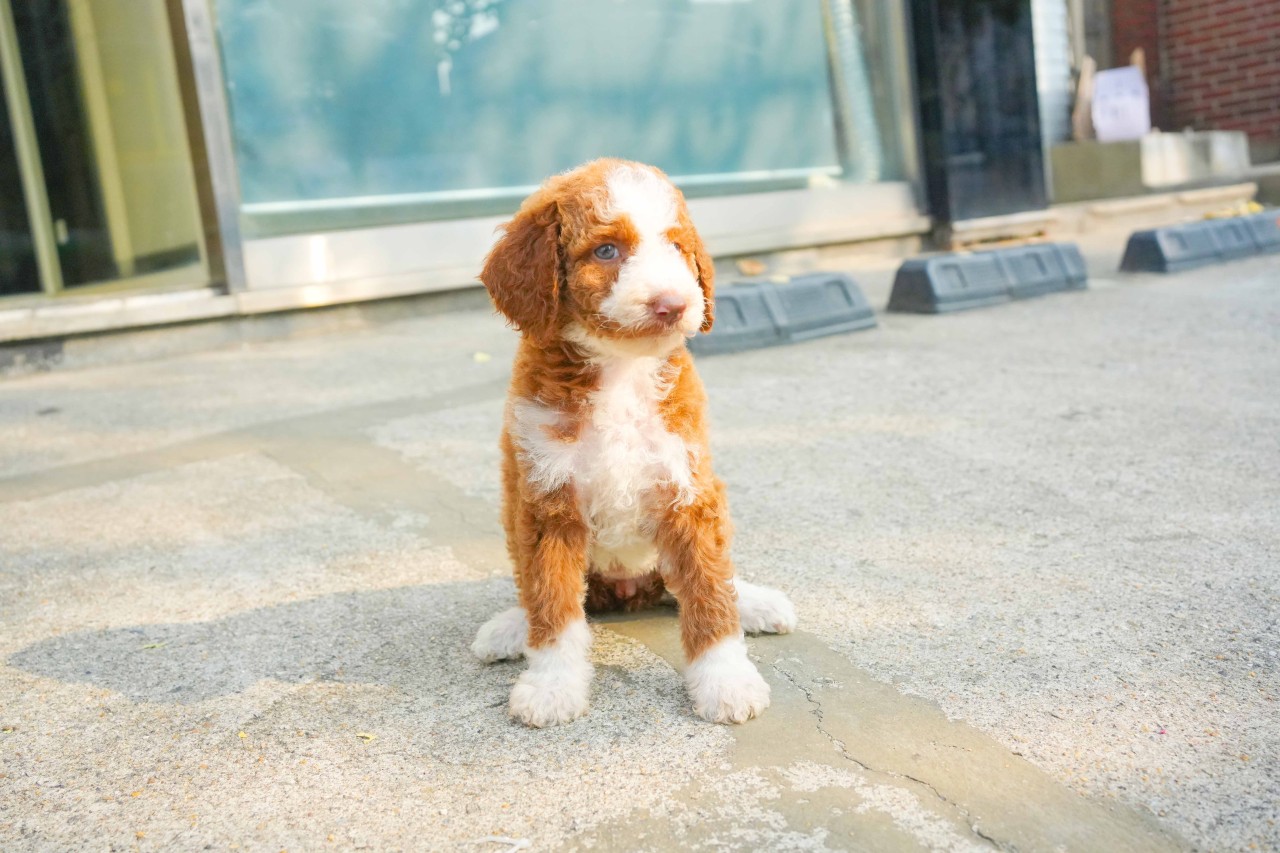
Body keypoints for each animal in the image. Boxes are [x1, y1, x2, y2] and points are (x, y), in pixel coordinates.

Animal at [470, 159, 796, 727]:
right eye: (606, 251)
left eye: (677, 247)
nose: (674, 304)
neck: (621, 368)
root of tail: (628, 592)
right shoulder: (547, 502)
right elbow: (552, 600)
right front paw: (552, 684)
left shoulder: (689, 489)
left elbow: (709, 590)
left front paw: (726, 681)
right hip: (516, 515)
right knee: (535, 591)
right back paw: (511, 627)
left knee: (711, 579)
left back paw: (756, 603)